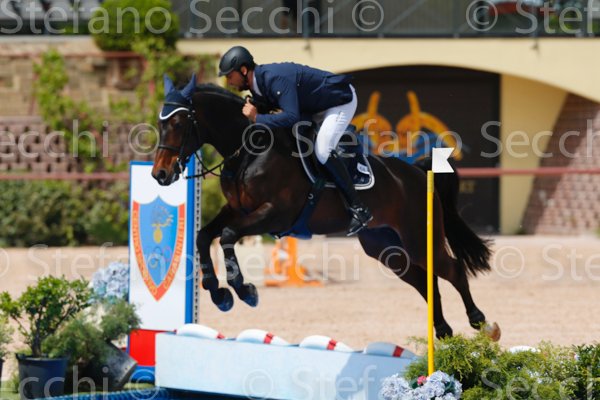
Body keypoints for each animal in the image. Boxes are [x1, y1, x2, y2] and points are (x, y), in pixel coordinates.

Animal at [151, 75, 500, 340]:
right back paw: (443, 331)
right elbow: (204, 235)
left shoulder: (273, 214)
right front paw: (218, 293)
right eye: (159, 122)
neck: (249, 149)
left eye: (179, 122)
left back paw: (482, 323)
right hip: (386, 249)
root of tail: (416, 171)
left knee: (452, 270)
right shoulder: (239, 210)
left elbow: (225, 236)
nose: (160, 175)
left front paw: (244, 290)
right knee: (425, 281)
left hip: (419, 238)